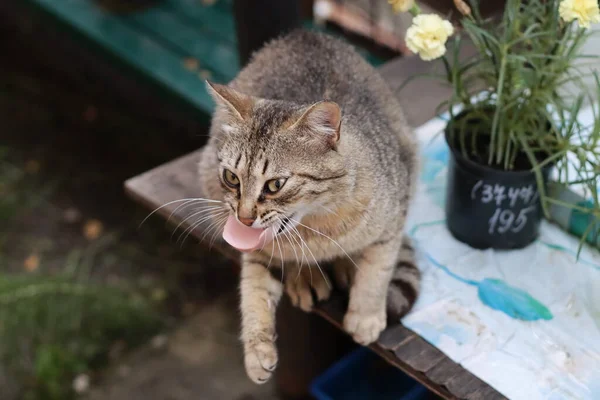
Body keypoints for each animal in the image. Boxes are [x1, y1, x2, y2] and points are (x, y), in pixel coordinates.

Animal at [199, 30, 420, 384]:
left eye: (275, 185)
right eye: (232, 178)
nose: (244, 218)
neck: (316, 229)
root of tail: (303, 33)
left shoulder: (393, 218)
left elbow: (377, 271)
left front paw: (365, 316)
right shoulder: (257, 251)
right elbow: (253, 291)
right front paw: (256, 351)